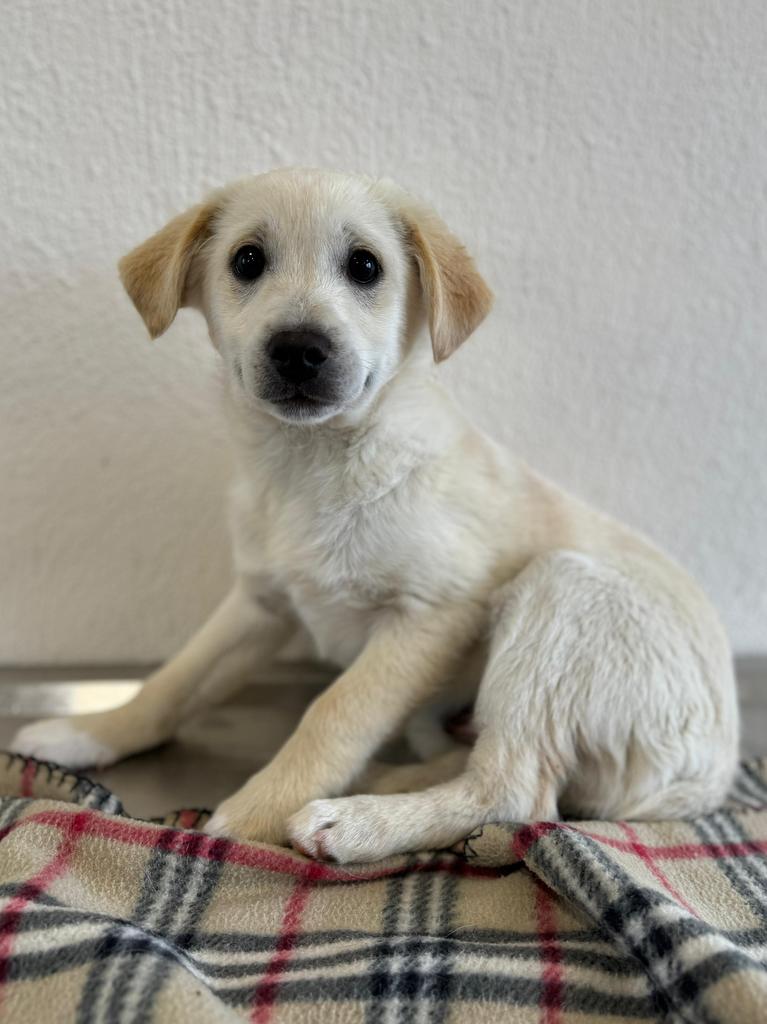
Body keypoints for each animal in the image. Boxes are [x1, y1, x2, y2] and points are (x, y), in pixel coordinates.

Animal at [11, 168, 739, 863]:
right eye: (246, 260)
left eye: (365, 266)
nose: (299, 348)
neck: (312, 466)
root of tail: (716, 768)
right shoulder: (260, 602)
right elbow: (177, 677)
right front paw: (95, 731)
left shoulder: (430, 615)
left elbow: (335, 712)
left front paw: (257, 812)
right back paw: (382, 780)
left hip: (560, 595)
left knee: (513, 791)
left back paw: (358, 819)